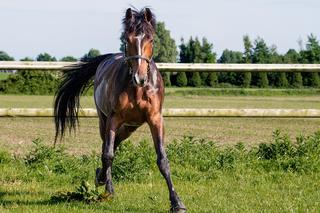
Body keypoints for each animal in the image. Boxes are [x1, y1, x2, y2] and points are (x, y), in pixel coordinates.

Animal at [53, 7, 186, 212]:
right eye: (127, 39)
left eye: (151, 39)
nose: (140, 77)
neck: (138, 89)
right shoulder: (113, 119)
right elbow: (108, 155)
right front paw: (108, 189)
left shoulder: (155, 119)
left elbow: (162, 160)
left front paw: (177, 203)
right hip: (105, 121)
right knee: (106, 148)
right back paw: (102, 180)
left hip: (131, 127)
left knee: (114, 144)